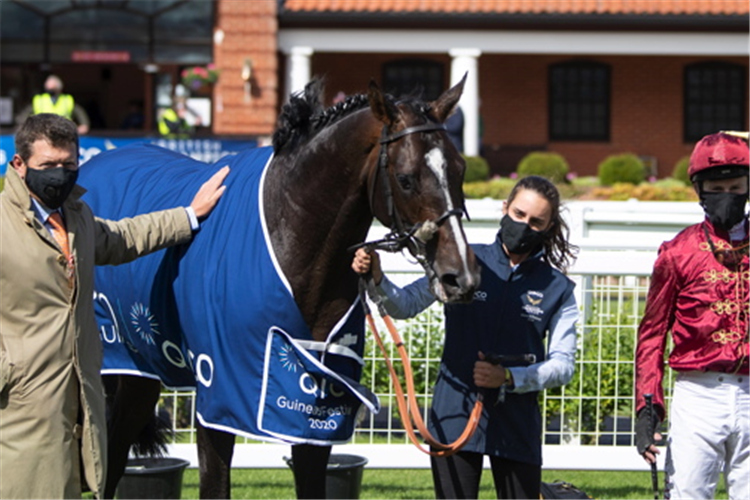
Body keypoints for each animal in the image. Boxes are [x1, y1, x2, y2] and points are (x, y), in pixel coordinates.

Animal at [82, 78, 482, 500]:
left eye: (460, 169)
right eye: (406, 178)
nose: (461, 276)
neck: (289, 237)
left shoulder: (317, 399)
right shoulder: (219, 392)